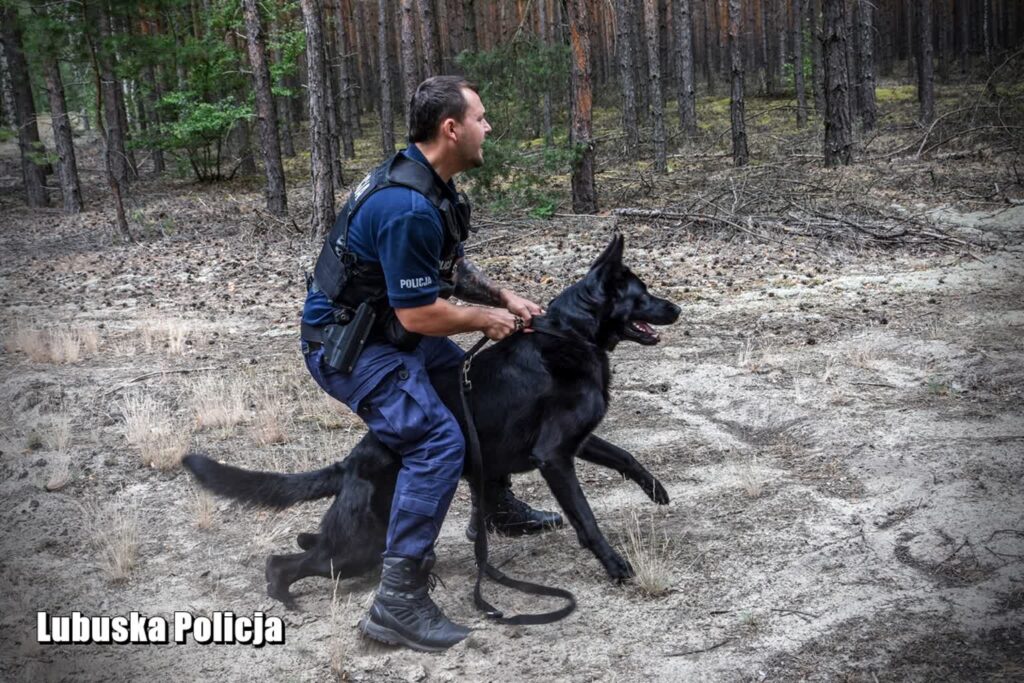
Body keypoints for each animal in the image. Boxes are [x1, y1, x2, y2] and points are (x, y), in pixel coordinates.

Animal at [184, 232, 679, 606]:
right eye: (644, 295)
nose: (677, 308)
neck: (571, 333)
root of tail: (350, 464)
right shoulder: (555, 455)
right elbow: (586, 519)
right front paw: (614, 564)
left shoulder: (578, 440)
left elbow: (625, 456)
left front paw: (656, 489)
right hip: (357, 545)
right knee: (286, 562)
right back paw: (284, 594)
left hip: (366, 542)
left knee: (312, 549)